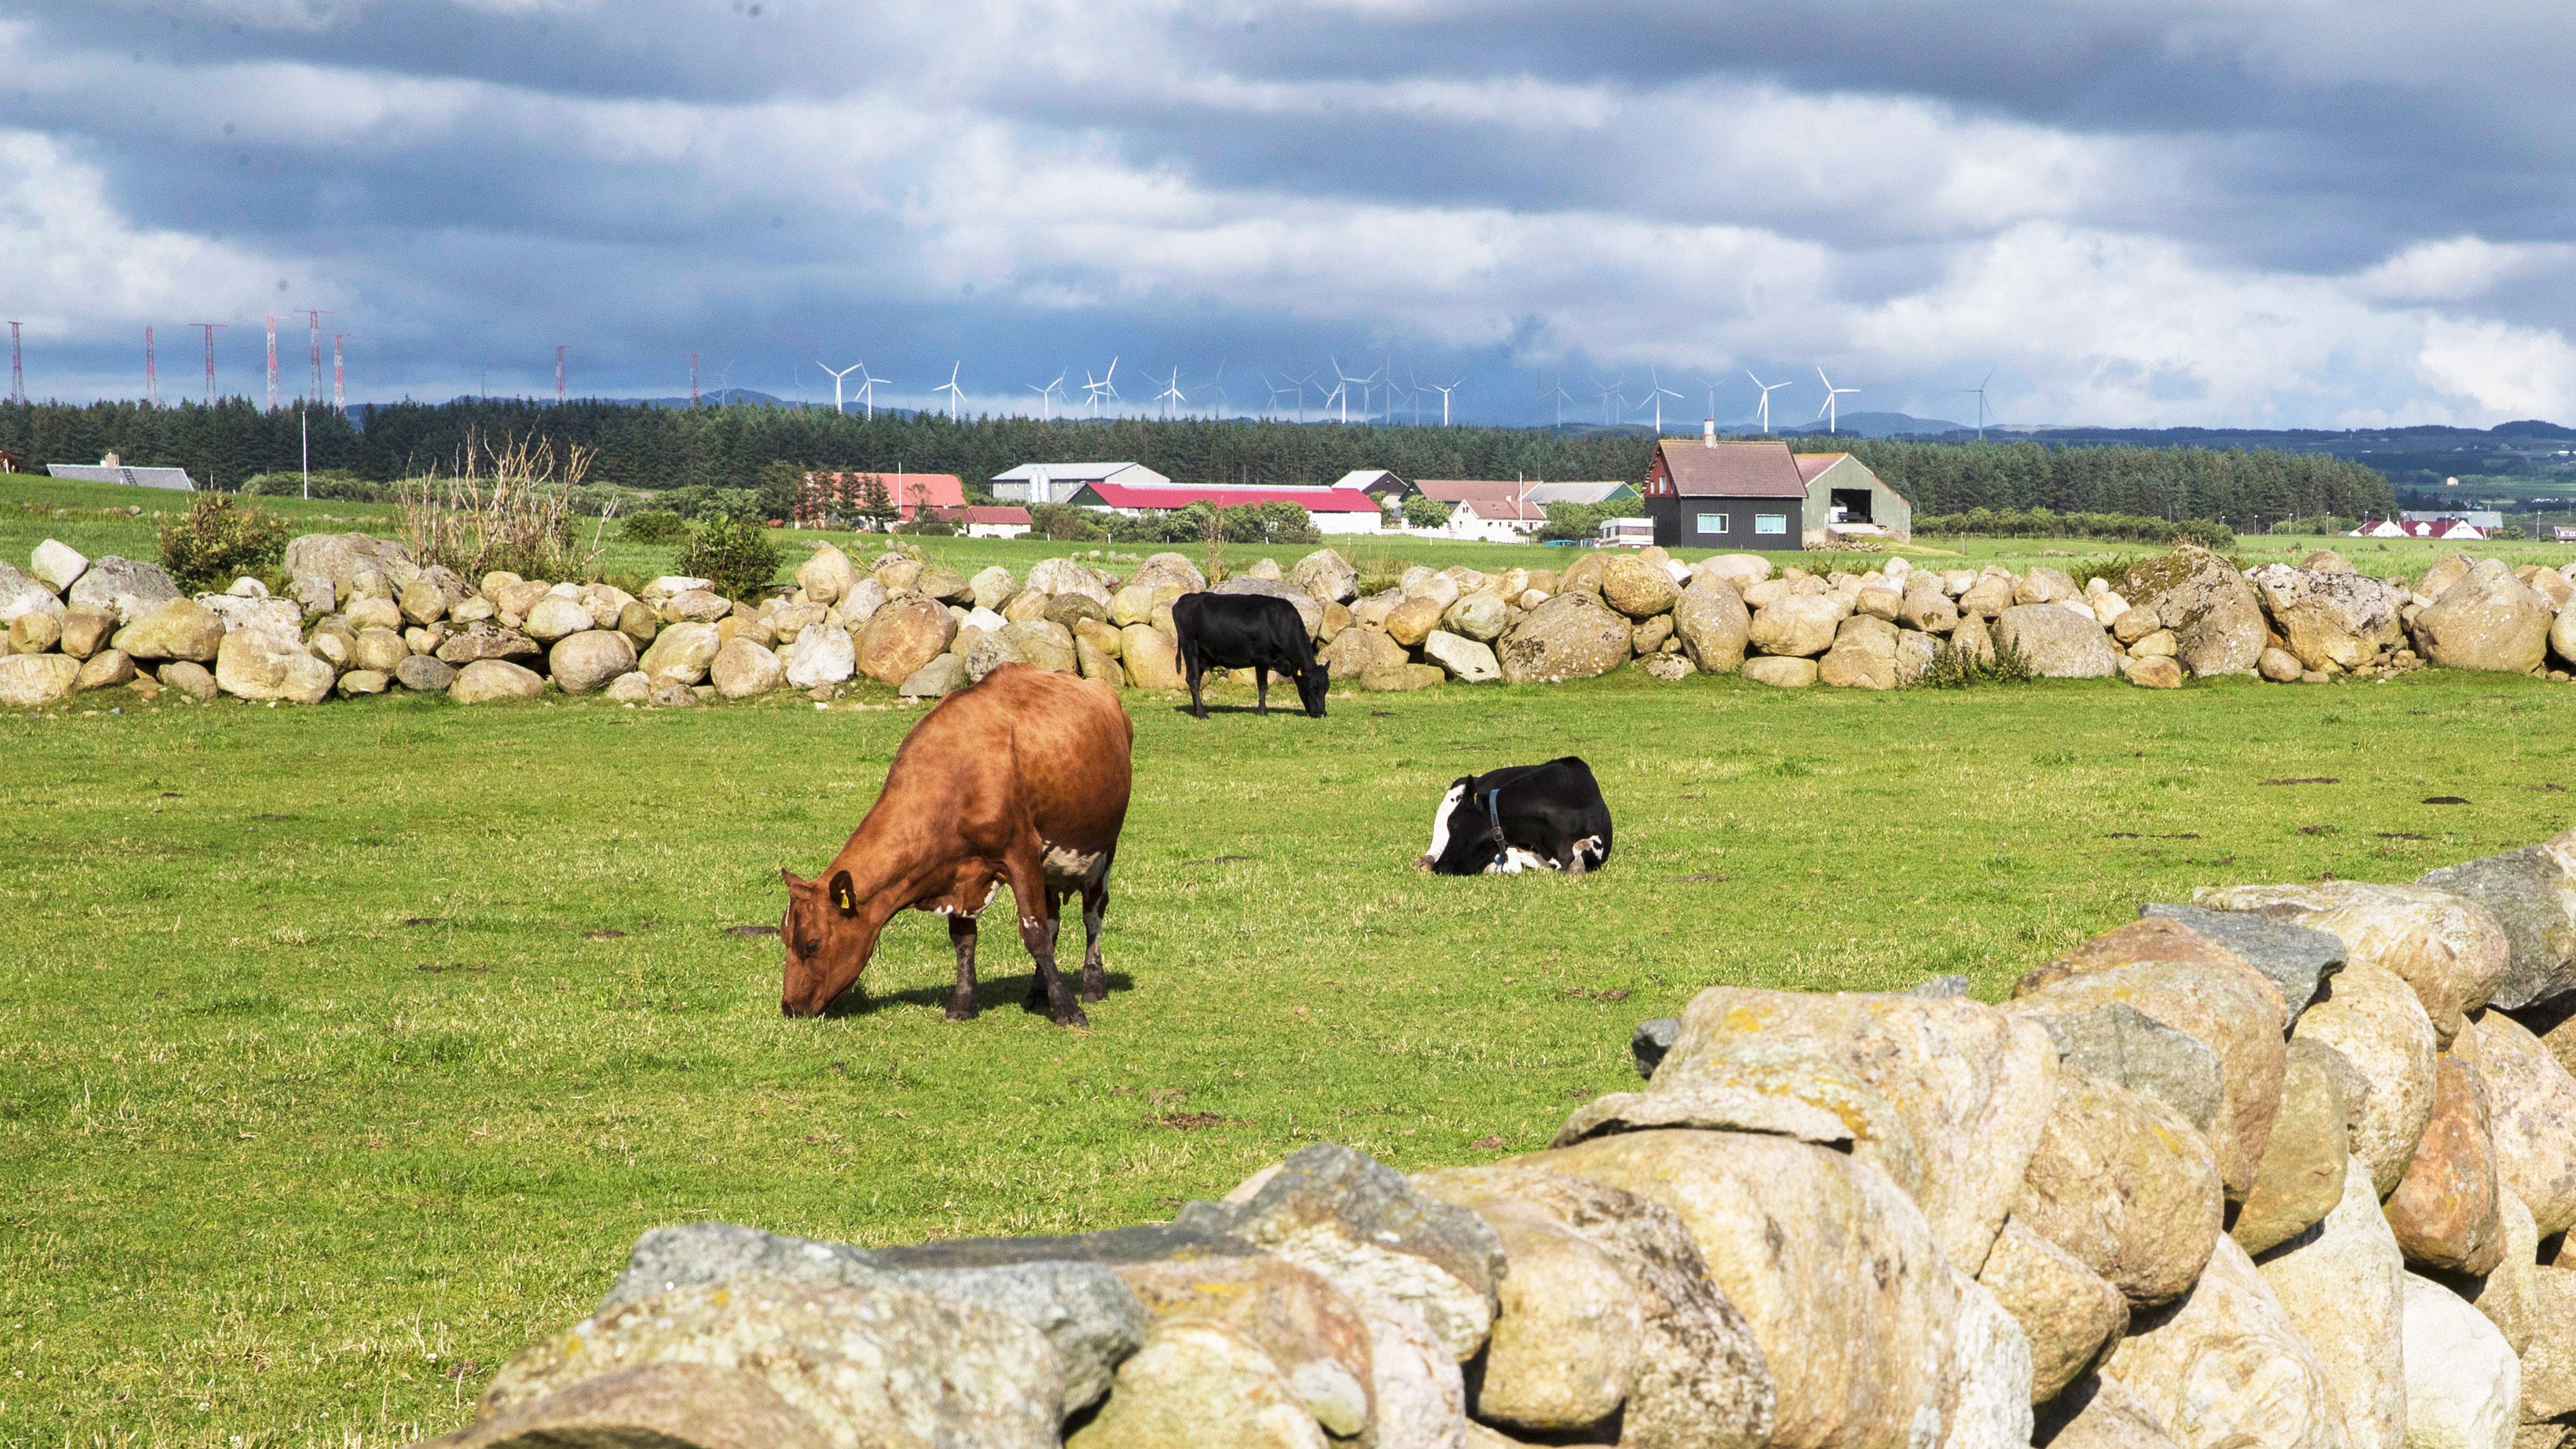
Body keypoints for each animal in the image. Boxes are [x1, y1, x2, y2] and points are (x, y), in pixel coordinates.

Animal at [778, 664, 1133, 1024]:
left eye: (812, 944)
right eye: (783, 938)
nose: (790, 1006)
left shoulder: (1021, 856)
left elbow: (1036, 936)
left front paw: (1066, 1008)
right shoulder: (958, 872)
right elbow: (965, 940)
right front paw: (963, 1002)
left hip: (1103, 854)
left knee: (1092, 916)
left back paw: (1093, 985)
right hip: (1051, 868)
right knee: (1054, 919)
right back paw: (1037, 992)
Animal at [1174, 591, 1329, 720]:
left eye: (1326, 688)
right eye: (1312, 688)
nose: (1320, 713)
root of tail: (1187, 597)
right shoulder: (1262, 659)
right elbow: (1263, 687)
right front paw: (1262, 711)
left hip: (1202, 656)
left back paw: (1197, 711)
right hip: (1190, 647)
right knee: (1193, 680)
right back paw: (1202, 714)